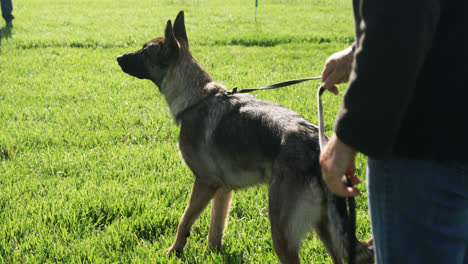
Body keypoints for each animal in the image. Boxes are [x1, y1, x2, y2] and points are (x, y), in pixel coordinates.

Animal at [117, 10, 372, 264]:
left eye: (144, 52)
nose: (118, 57)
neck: (196, 97)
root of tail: (317, 147)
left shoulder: (205, 182)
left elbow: (185, 220)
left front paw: (173, 252)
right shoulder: (222, 189)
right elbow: (215, 228)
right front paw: (212, 254)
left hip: (282, 232)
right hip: (326, 229)